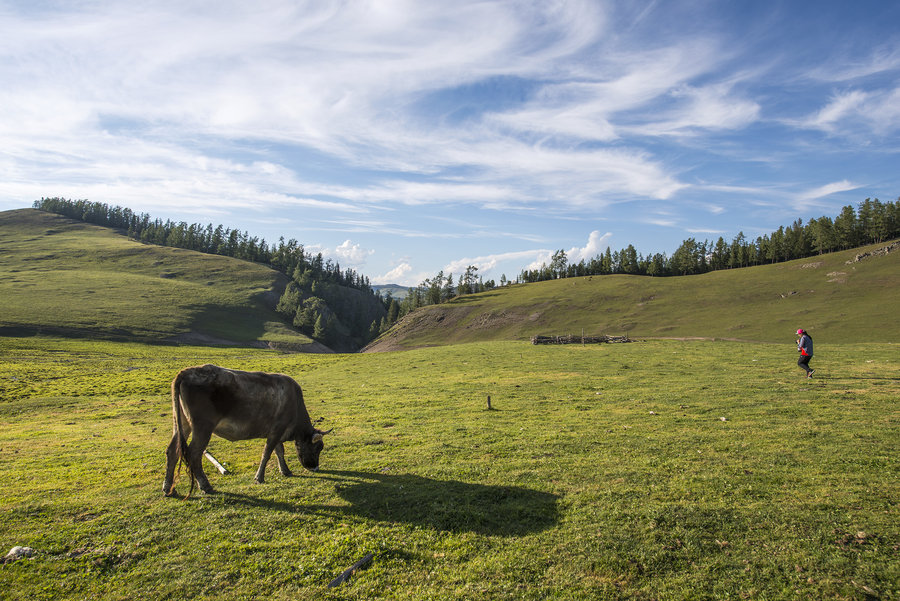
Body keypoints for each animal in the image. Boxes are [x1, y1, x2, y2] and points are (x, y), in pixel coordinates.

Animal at [163, 364, 332, 494]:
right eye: (317, 448)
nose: (315, 468)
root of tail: (187, 372)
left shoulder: (276, 430)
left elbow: (279, 451)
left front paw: (285, 470)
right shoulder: (277, 429)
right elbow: (267, 453)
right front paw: (259, 477)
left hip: (181, 423)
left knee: (172, 450)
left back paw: (168, 488)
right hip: (203, 426)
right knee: (194, 454)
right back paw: (205, 485)